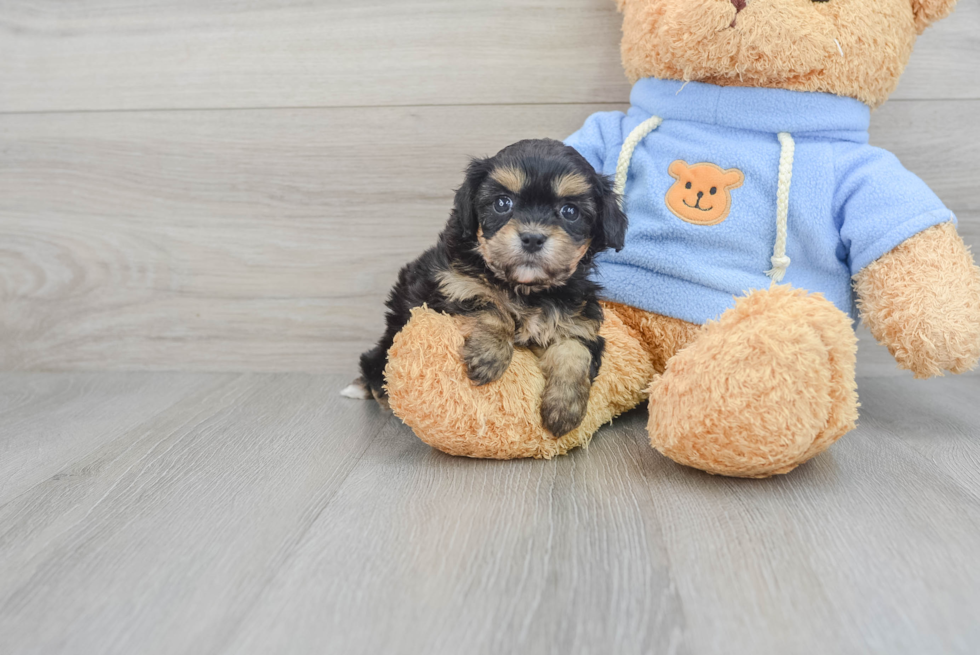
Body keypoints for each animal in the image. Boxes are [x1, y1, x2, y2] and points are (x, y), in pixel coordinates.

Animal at [344, 138, 628, 436]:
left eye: (570, 211)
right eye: (503, 203)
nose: (532, 238)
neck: (526, 289)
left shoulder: (580, 322)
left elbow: (576, 351)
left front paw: (565, 408)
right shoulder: (450, 286)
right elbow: (491, 306)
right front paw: (489, 356)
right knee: (373, 361)